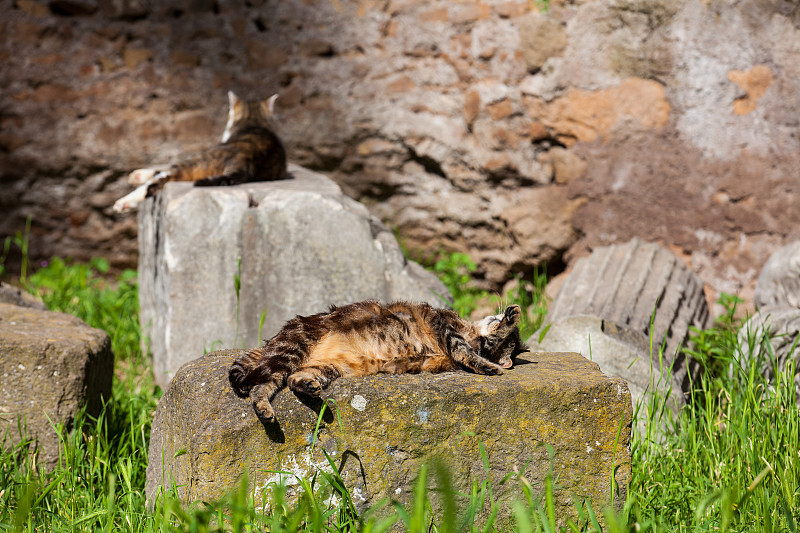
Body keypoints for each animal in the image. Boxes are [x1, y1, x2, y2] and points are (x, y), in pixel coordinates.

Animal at [111, 90, 288, 213]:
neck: (253, 121)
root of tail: (246, 158)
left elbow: (159, 170)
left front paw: (136, 176)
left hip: (198, 161)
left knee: (159, 180)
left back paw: (124, 201)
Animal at [227, 302, 524, 422]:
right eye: (496, 322)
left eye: (499, 336)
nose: (500, 316)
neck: (468, 328)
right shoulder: (441, 321)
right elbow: (465, 349)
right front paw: (512, 316)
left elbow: (468, 353)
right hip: (290, 350)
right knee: (261, 383)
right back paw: (266, 409)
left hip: (327, 367)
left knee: (285, 380)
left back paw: (304, 390)